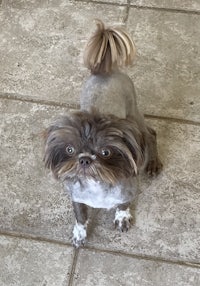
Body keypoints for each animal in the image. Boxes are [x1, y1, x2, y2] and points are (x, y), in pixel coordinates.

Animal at [43, 19, 162, 248]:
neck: (96, 184)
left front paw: (122, 217)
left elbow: (123, 205)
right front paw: (80, 234)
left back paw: (153, 163)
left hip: (133, 115)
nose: (85, 159)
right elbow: (80, 217)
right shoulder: (76, 198)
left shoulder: (128, 190)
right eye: (70, 149)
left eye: (105, 152)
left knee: (151, 134)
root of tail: (104, 71)